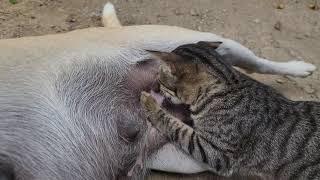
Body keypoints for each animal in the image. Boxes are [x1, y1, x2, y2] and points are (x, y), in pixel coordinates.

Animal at [141, 41, 320, 179]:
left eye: (160, 79)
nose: (155, 87)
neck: (227, 85)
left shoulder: (215, 151)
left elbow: (175, 126)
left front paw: (150, 104)